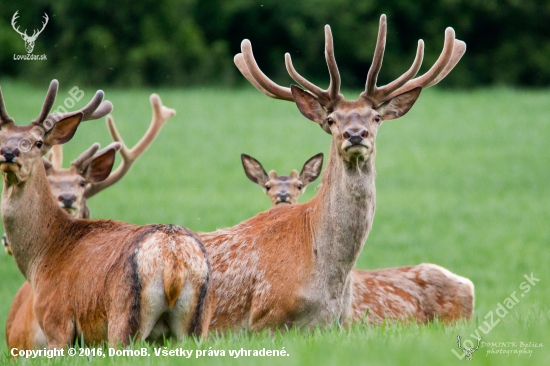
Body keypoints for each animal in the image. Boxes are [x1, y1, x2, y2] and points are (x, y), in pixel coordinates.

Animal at [0, 81, 213, 348]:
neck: (41, 257)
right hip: (196, 324)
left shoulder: (56, 321)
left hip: (123, 317)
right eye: (0, 138)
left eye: (38, 142)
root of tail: (173, 259)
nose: (8, 153)